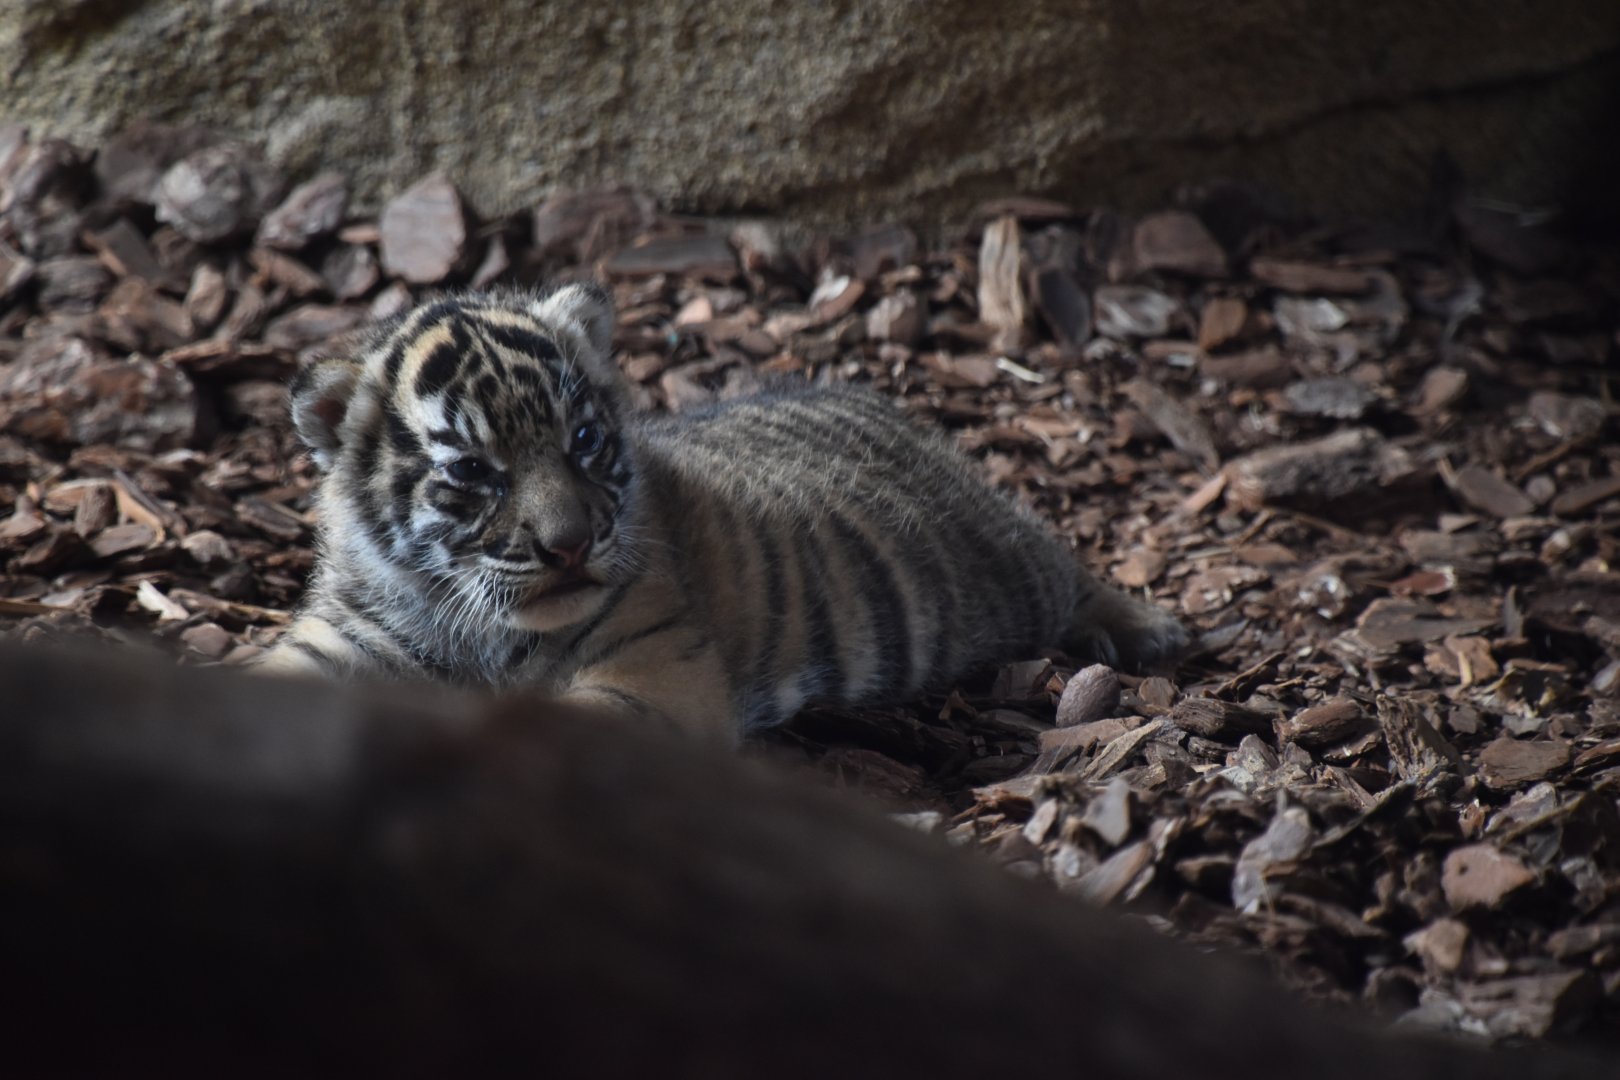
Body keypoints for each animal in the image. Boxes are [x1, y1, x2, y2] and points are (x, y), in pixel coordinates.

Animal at [258, 285, 1188, 742]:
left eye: (584, 439)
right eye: (473, 471)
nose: (570, 546)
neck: (473, 625)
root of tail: (873, 397)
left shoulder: (654, 671)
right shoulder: (343, 639)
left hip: (1001, 568)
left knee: (1067, 569)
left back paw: (1152, 629)